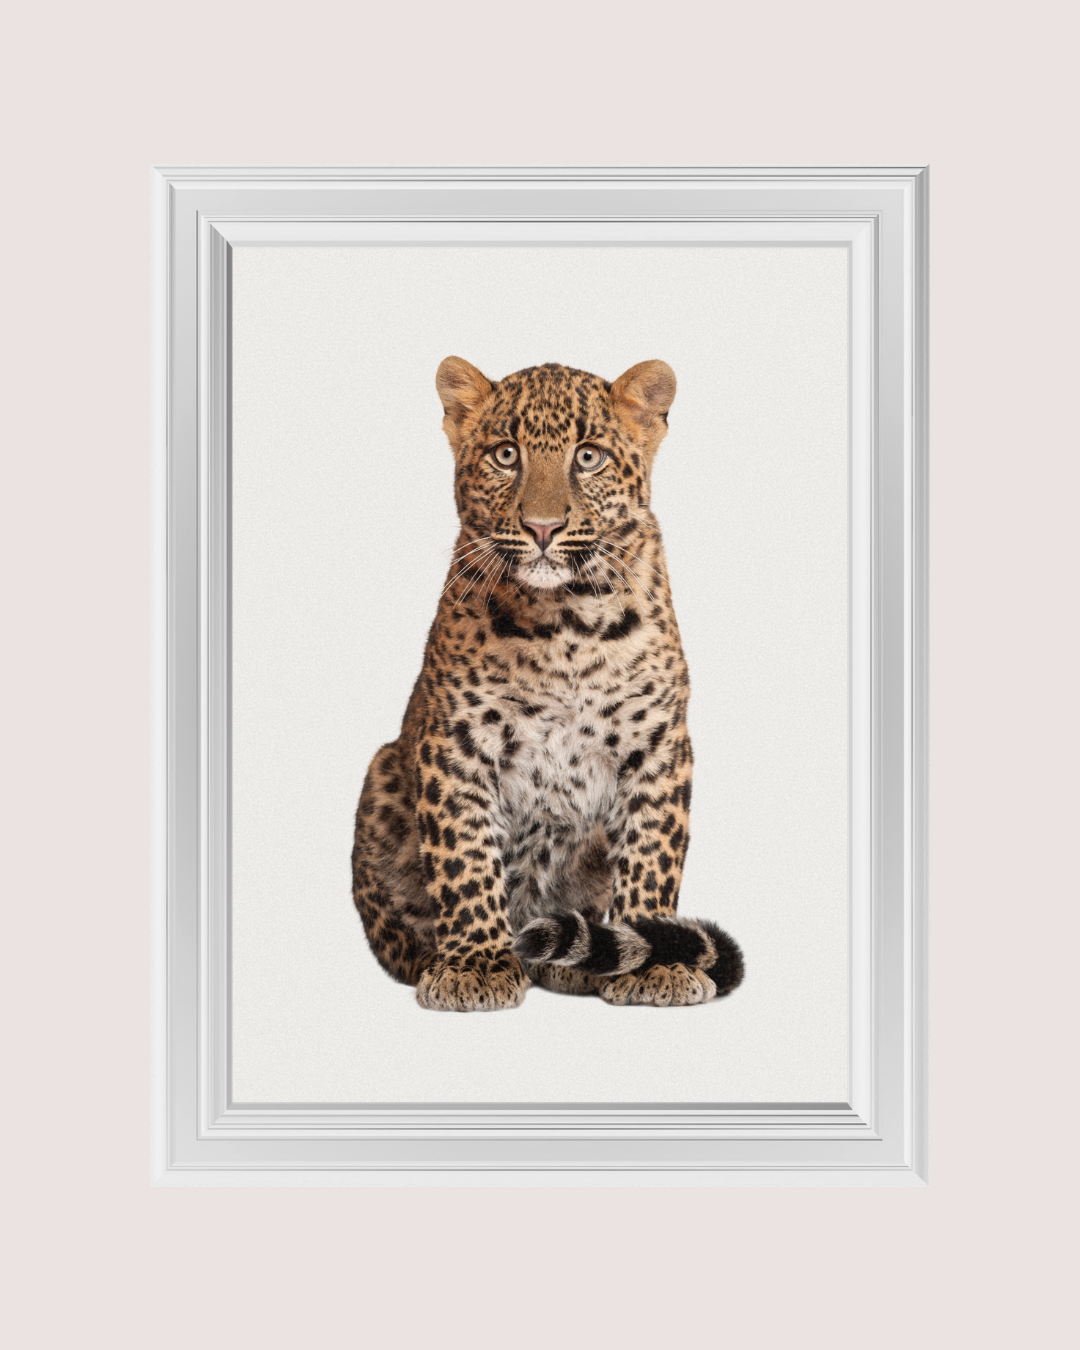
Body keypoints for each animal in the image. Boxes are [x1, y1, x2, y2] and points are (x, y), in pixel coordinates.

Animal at [351, 356, 744, 1011]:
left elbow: (652, 849)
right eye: (506, 454)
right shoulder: (455, 742)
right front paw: (475, 965)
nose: (541, 527)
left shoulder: (659, 743)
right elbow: (465, 854)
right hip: (382, 771)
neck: (567, 624)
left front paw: (654, 959)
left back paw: (580, 961)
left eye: (588, 457)